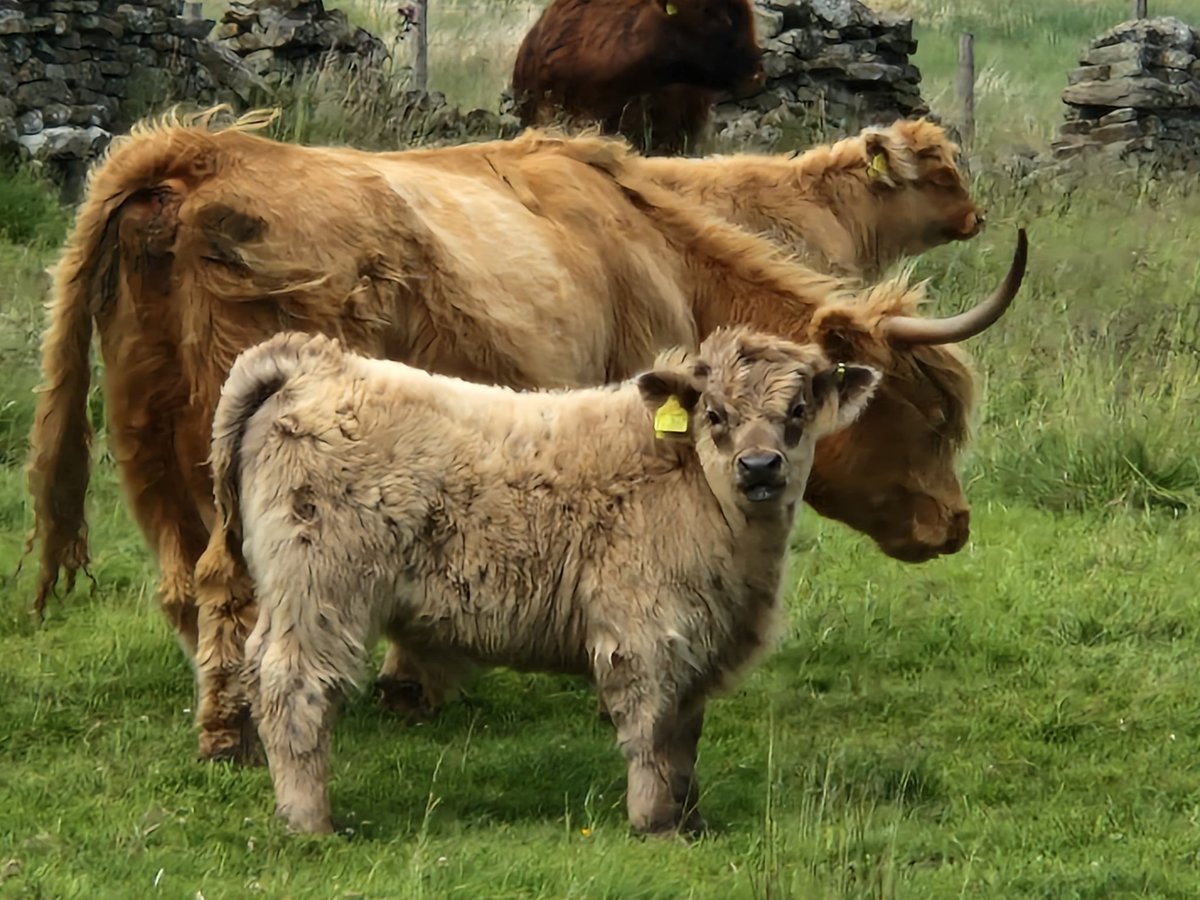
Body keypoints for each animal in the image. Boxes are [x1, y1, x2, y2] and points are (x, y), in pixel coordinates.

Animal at [23, 109, 1027, 763]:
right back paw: (237, 734)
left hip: (150, 450)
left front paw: (414, 680)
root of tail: (194, 153)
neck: (654, 259)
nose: (955, 525)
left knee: (180, 585)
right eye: (930, 418)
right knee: (225, 582)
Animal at [204, 326, 883, 840]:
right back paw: (310, 822)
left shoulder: (699, 639)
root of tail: (318, 363)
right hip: (320, 592)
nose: (760, 466)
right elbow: (651, 730)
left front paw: (691, 820)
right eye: (715, 414)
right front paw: (654, 823)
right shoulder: (643, 633)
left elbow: (684, 735)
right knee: (294, 688)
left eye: (797, 412)